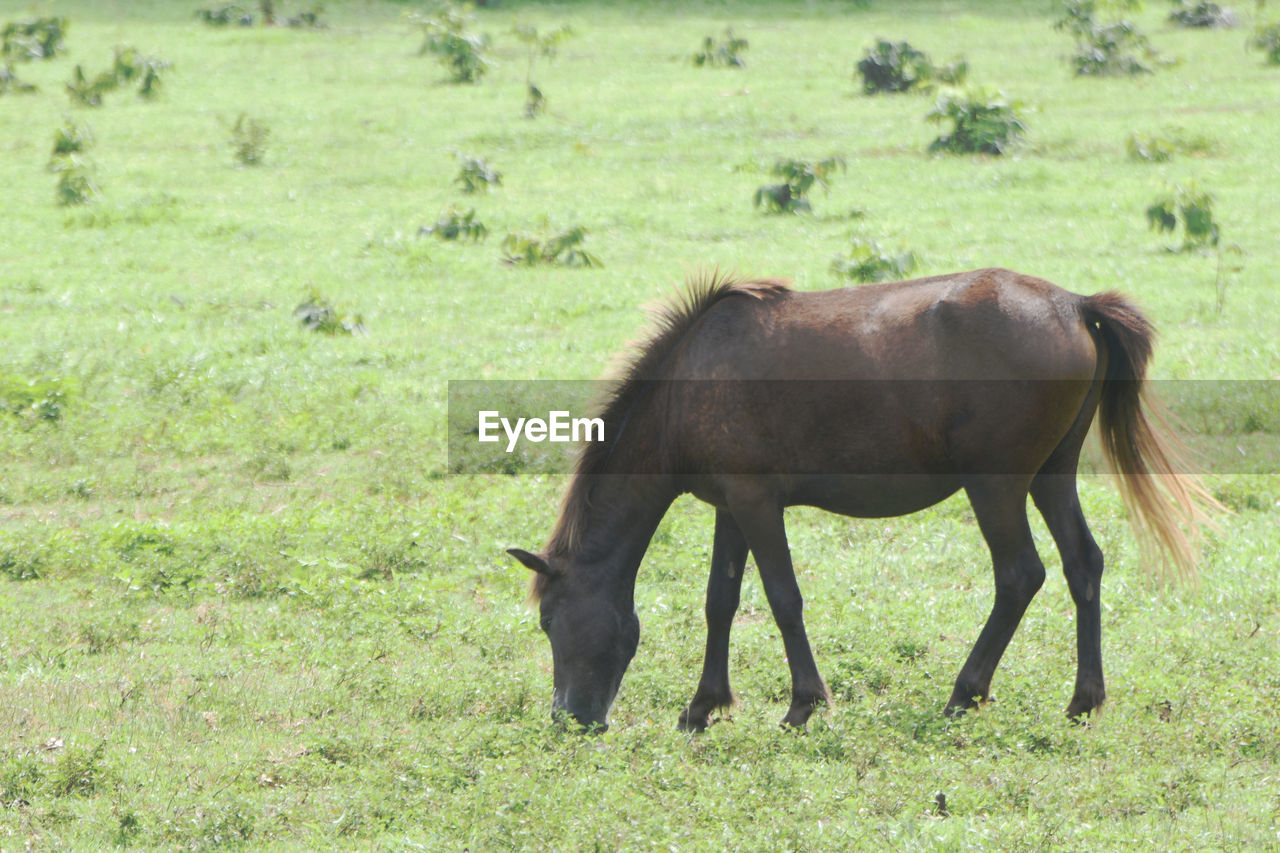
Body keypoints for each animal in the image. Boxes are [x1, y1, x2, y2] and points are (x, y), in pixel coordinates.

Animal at [504, 267, 1213, 732]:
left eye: (548, 621)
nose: (569, 720)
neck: (689, 380)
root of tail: (1073, 304)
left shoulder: (757, 504)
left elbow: (782, 599)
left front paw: (802, 704)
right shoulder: (731, 505)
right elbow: (720, 602)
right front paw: (704, 707)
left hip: (997, 487)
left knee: (1019, 576)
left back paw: (964, 693)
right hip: (1051, 477)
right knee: (1081, 566)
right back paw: (1083, 700)